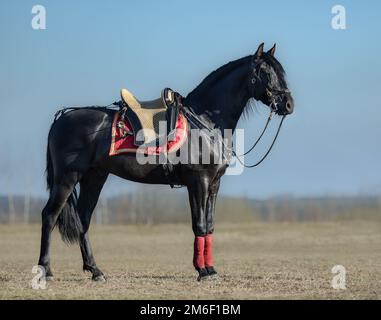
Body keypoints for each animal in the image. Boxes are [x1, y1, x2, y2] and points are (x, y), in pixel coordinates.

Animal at [37, 43, 294, 282]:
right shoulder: (198, 182)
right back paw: (45, 271)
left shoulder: (213, 184)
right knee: (49, 216)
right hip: (67, 178)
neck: (204, 122)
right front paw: (202, 271)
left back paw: (95, 270)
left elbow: (209, 225)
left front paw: (211, 269)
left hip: (94, 177)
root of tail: (62, 118)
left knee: (84, 220)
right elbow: (199, 224)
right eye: (264, 71)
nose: (288, 104)